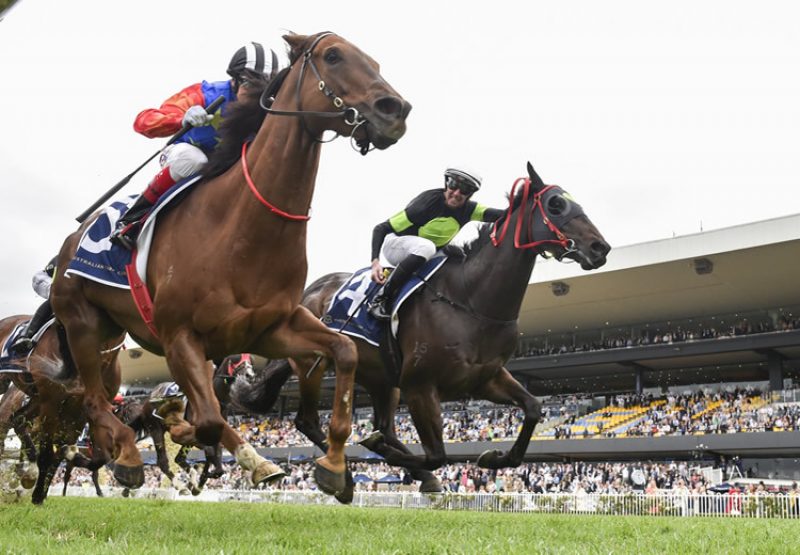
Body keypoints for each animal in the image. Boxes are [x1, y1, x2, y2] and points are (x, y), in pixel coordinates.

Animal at [53, 32, 410, 498]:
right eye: (333, 55)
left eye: (376, 62)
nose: (395, 110)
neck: (240, 231)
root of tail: (71, 242)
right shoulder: (178, 335)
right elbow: (206, 419)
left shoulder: (270, 329)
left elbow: (345, 351)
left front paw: (332, 464)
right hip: (82, 322)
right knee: (95, 400)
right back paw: (126, 454)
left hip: (111, 335)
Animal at [234, 162, 608, 490]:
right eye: (556, 204)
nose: (600, 247)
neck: (470, 300)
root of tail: (310, 292)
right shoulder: (421, 386)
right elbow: (436, 454)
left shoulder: (484, 379)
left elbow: (532, 408)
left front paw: (493, 457)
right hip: (316, 362)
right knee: (309, 420)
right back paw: (342, 473)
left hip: (382, 379)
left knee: (385, 427)